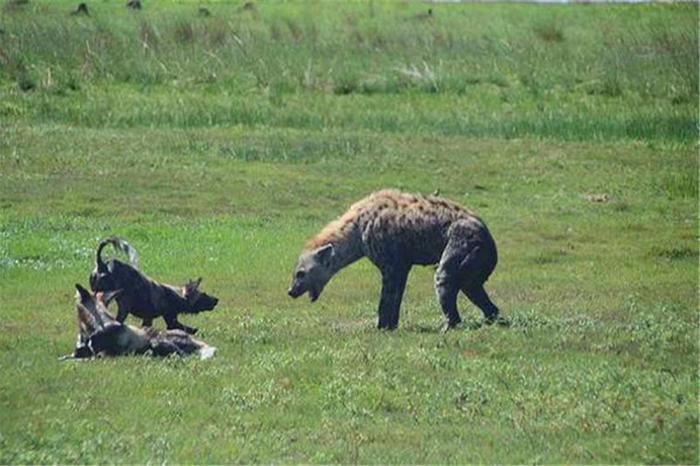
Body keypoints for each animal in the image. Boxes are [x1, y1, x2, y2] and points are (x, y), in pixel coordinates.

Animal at [89, 237, 219, 334]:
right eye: (204, 295)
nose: (216, 300)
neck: (177, 295)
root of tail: (102, 265)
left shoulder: (148, 319)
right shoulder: (171, 321)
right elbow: (187, 328)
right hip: (120, 304)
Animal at [290, 189, 504, 332]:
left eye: (300, 273)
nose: (290, 291)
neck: (356, 230)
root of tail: (488, 236)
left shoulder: (391, 262)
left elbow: (387, 295)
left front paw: (381, 327)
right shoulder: (401, 264)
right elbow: (396, 294)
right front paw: (391, 325)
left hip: (461, 244)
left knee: (445, 278)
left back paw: (447, 326)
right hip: (474, 264)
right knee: (476, 291)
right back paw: (490, 320)